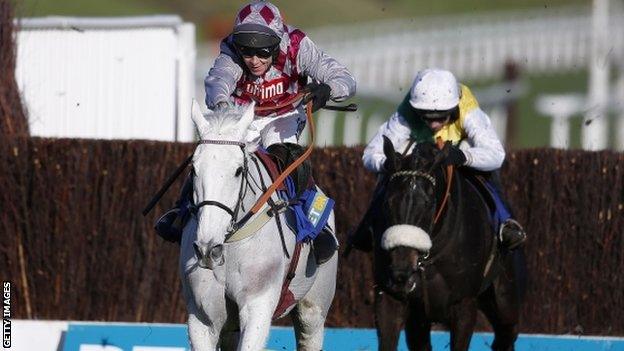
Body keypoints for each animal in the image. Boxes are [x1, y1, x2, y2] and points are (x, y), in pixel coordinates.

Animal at [180, 100, 336, 350]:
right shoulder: (202, 315)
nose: (208, 249)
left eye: (238, 170)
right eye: (193, 169)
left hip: (315, 306)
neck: (231, 245)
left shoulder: (258, 304)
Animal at [372, 136, 528, 350]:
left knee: (505, 333)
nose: (401, 271)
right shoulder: (391, 299)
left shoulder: (464, 304)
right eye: (388, 202)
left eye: (428, 203)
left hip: (506, 298)